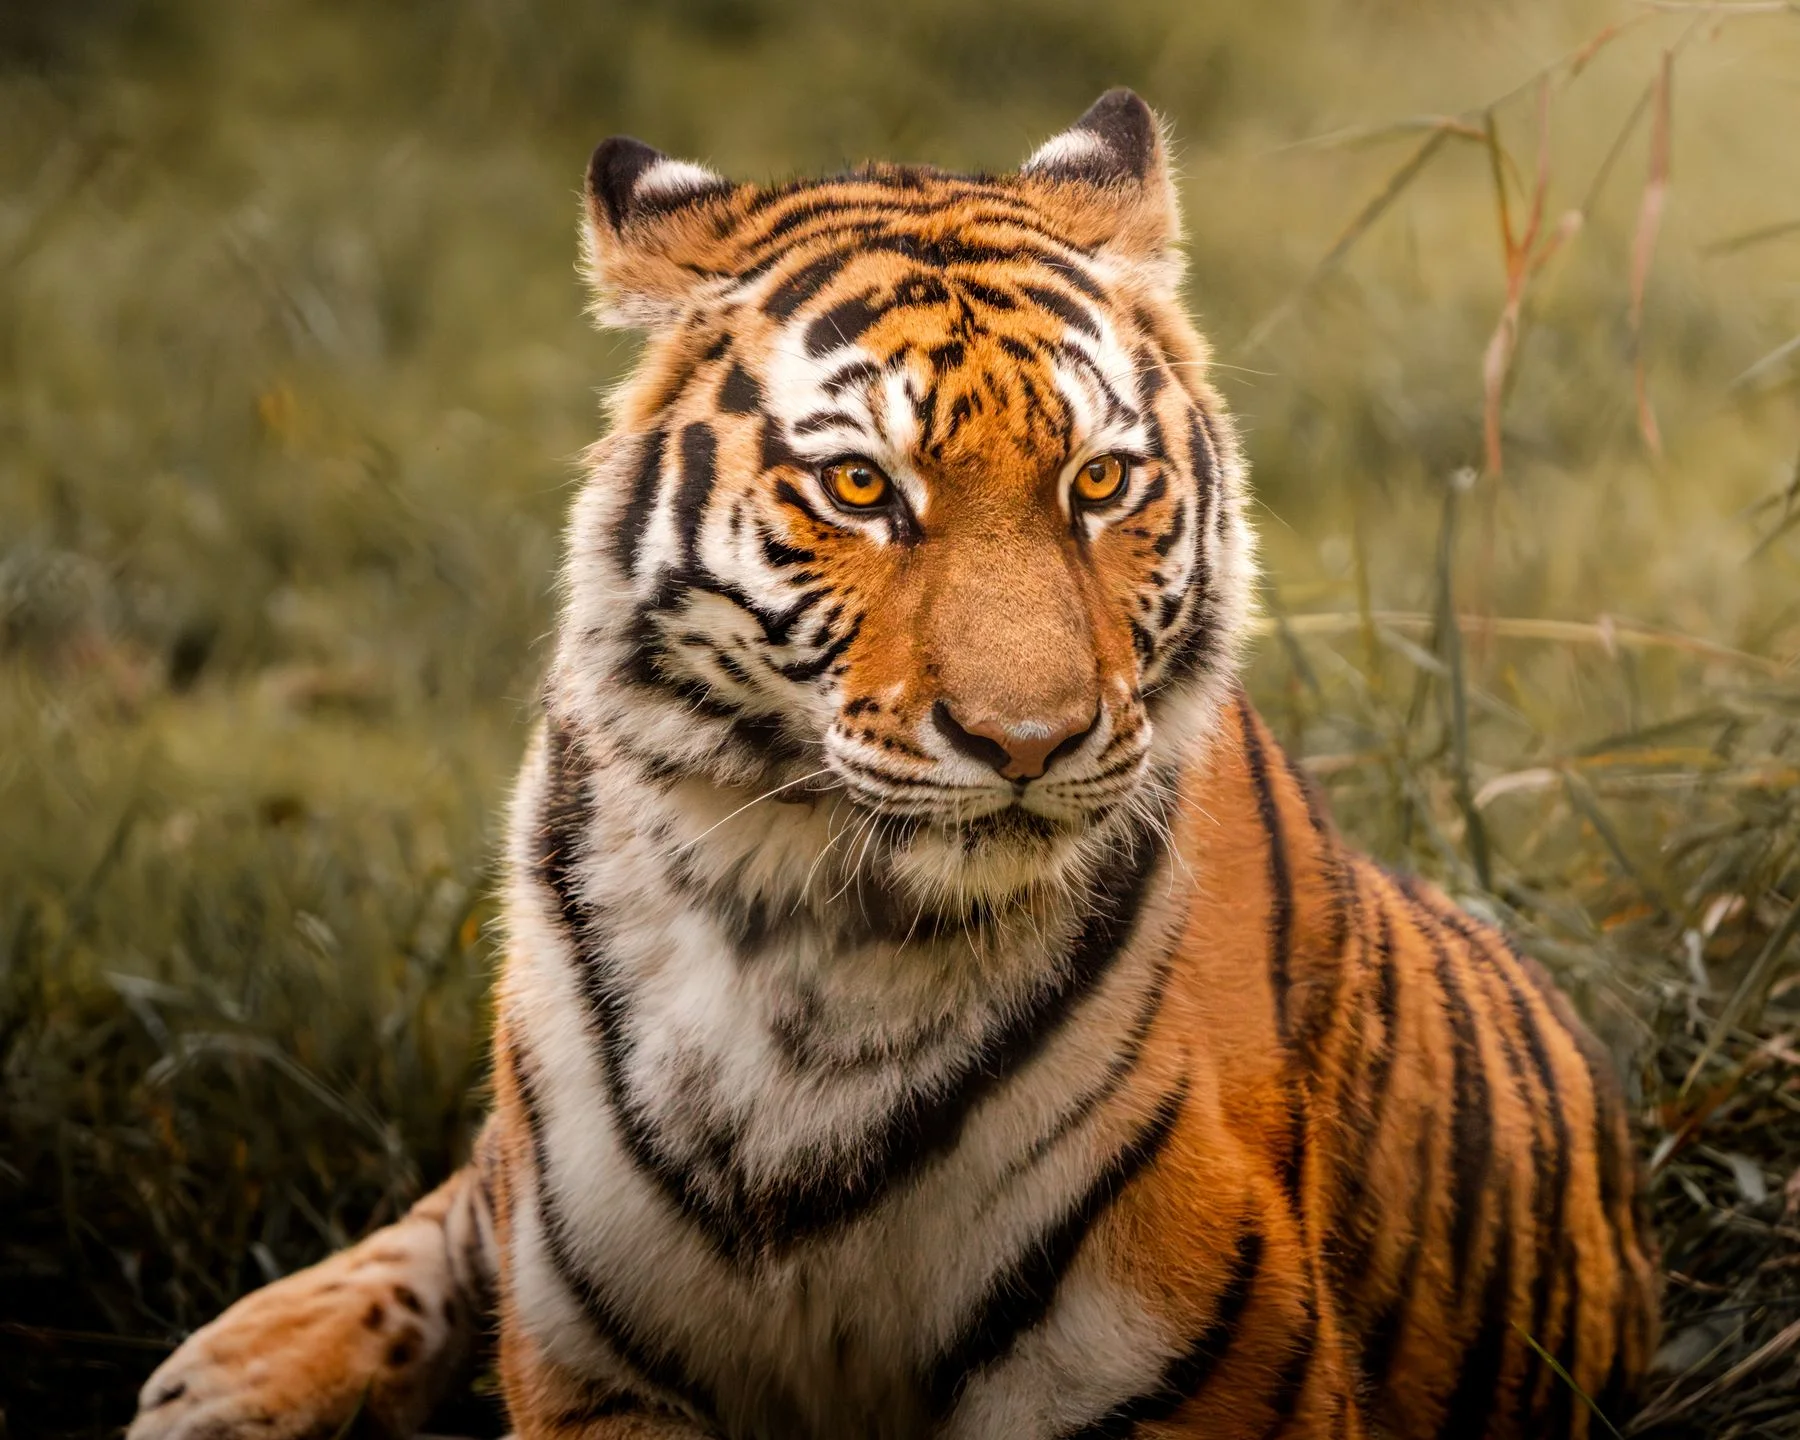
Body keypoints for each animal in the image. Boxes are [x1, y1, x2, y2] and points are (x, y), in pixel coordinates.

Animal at [128, 89, 1659, 1440]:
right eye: (862, 487)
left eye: (1099, 482)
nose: (1027, 740)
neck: (812, 933)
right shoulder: (598, 1364)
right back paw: (226, 1379)